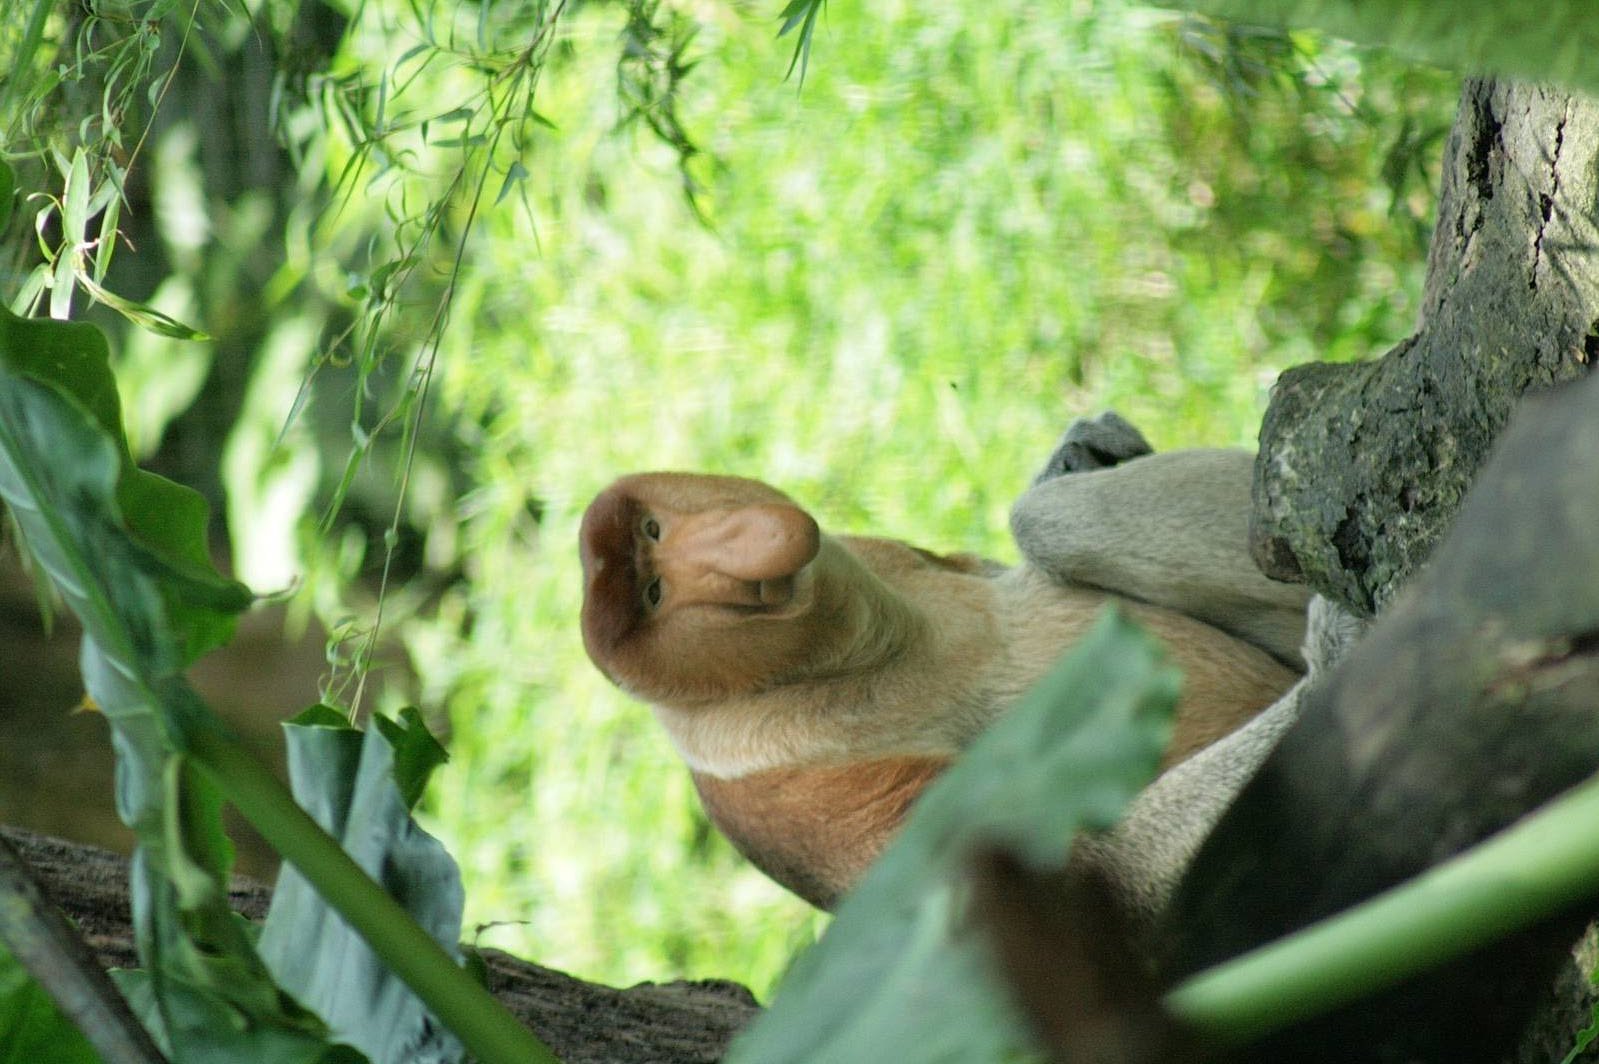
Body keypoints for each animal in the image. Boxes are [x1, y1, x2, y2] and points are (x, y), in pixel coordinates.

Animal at [578, 418, 1313, 910]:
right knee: (1046, 523)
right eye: (657, 591)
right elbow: (1107, 873)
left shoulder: (881, 557)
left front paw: (1082, 449)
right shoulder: (821, 804)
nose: (745, 542)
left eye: (653, 530)